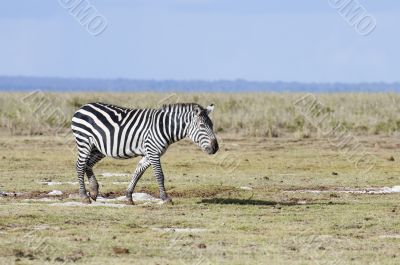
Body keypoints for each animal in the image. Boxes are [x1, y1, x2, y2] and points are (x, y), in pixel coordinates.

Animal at [71, 102, 219, 203]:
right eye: (202, 126)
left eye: (212, 125)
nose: (215, 148)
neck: (165, 127)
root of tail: (83, 107)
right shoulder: (153, 152)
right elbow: (159, 175)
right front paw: (165, 198)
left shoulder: (149, 154)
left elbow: (138, 173)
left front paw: (129, 196)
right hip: (84, 142)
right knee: (80, 165)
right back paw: (84, 196)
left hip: (98, 148)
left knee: (88, 164)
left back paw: (94, 191)